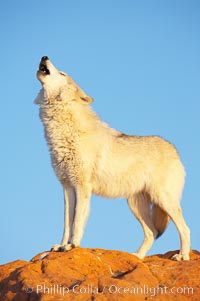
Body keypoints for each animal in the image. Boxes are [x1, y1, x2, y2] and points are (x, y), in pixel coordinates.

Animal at [34, 56, 191, 260]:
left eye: (62, 73)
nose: (44, 57)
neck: (64, 132)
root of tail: (174, 149)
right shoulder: (67, 187)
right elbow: (67, 223)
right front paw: (61, 245)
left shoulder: (82, 187)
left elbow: (77, 221)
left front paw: (73, 245)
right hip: (135, 205)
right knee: (152, 233)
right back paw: (136, 257)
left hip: (163, 200)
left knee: (184, 229)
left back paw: (183, 256)